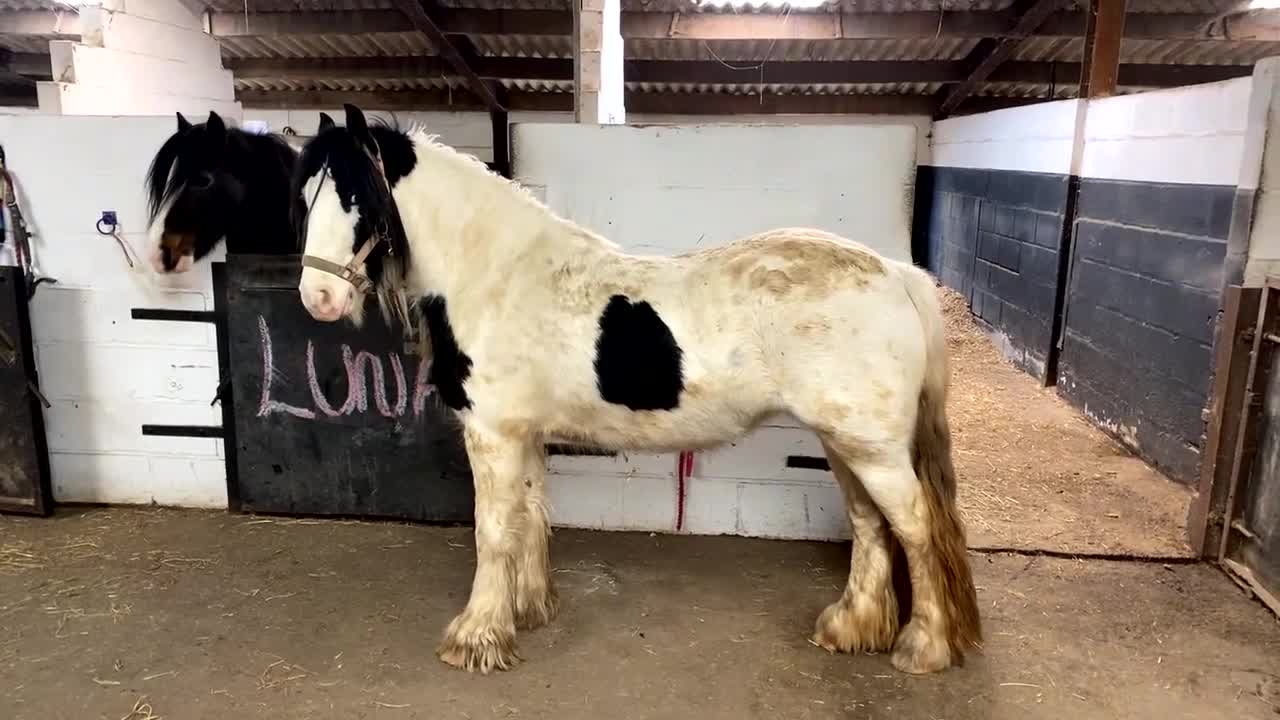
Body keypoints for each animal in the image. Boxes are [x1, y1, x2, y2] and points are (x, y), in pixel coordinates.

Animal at [290, 104, 982, 676]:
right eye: (304, 198)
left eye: (356, 196)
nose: (317, 298)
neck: (495, 273)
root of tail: (895, 273)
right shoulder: (525, 435)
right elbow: (531, 517)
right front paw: (529, 610)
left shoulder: (492, 434)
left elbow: (492, 531)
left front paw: (476, 637)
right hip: (846, 441)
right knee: (869, 523)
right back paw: (850, 628)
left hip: (872, 449)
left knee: (916, 527)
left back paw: (923, 647)